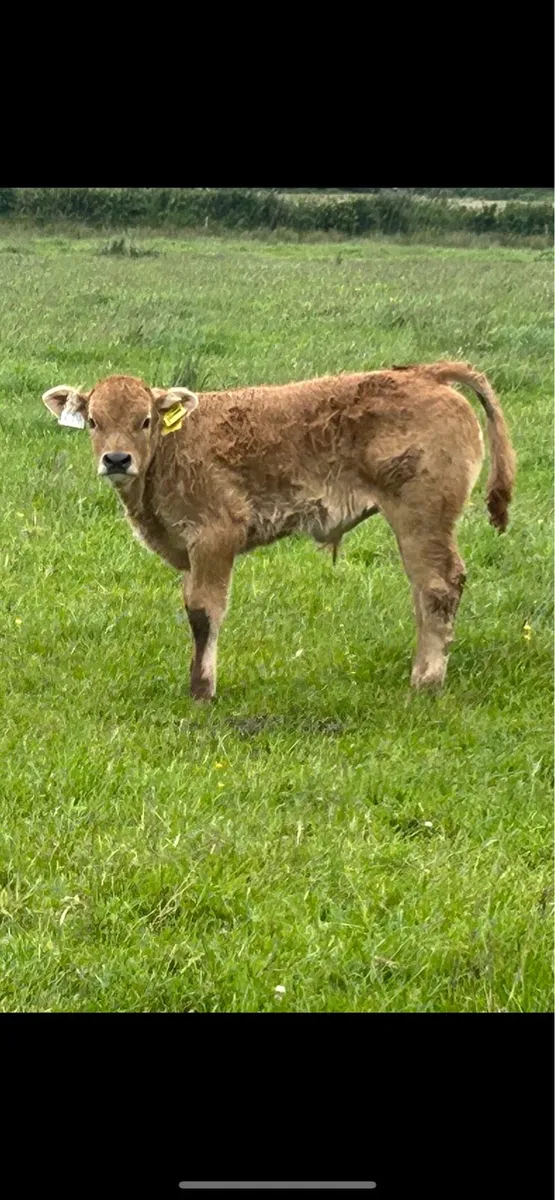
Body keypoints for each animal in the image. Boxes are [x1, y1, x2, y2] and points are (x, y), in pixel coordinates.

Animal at [42, 361, 516, 701]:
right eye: (93, 421)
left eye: (144, 420)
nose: (117, 460)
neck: (173, 449)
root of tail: (426, 373)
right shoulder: (189, 550)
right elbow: (191, 608)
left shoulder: (215, 538)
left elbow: (205, 612)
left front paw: (202, 690)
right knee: (423, 590)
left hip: (421, 517)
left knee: (438, 586)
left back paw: (426, 681)